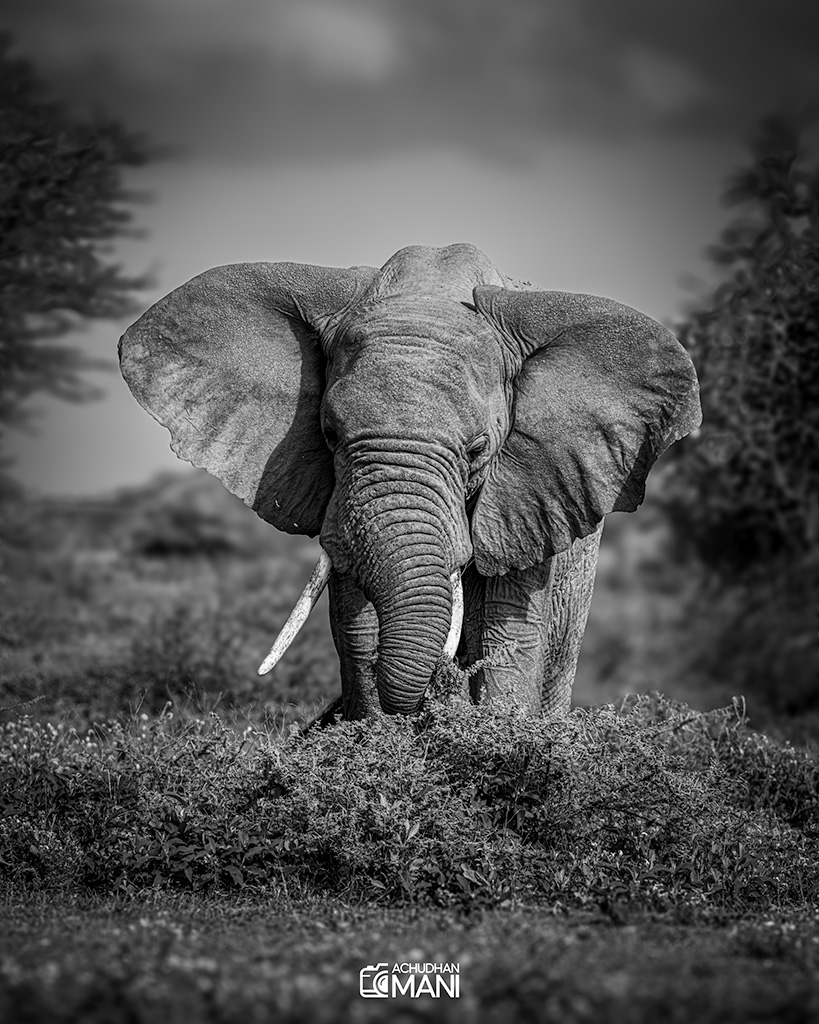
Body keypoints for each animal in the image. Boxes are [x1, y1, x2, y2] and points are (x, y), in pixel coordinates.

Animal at [119, 243, 700, 721]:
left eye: (478, 450)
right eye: (328, 434)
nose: (438, 689)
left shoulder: (532, 493)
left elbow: (510, 627)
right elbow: (353, 620)